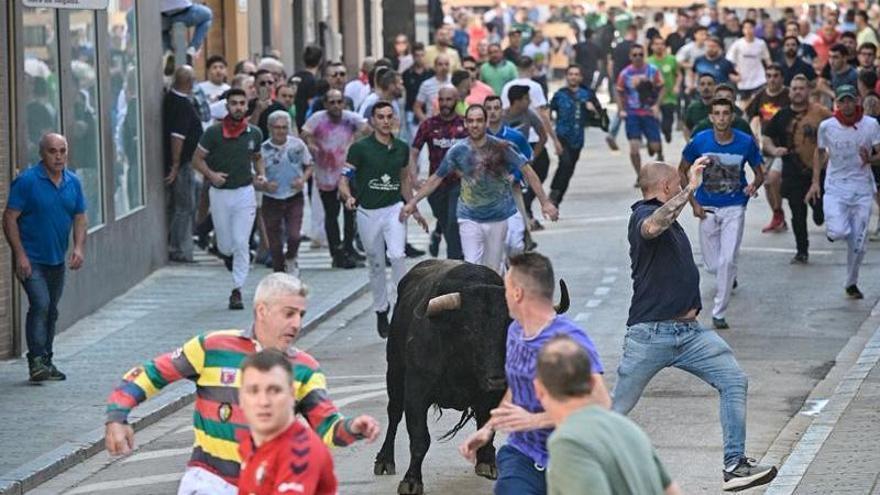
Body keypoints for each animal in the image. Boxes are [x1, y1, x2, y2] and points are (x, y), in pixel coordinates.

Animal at [372, 260, 572, 495]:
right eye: (468, 329)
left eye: (507, 327)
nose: (497, 378)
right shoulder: (416, 391)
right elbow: (420, 438)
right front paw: (411, 481)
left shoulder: (492, 396)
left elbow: (487, 426)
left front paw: (486, 463)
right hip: (394, 371)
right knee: (394, 413)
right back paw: (384, 460)